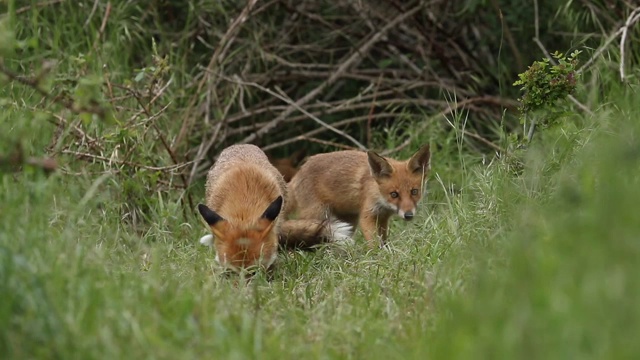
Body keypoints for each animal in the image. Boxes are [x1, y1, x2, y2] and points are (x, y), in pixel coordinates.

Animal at [288, 143, 430, 248]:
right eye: (394, 194)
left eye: (414, 192)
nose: (408, 215)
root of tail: (298, 173)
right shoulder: (367, 216)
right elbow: (373, 242)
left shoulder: (383, 218)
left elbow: (383, 240)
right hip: (319, 215)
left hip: (348, 222)